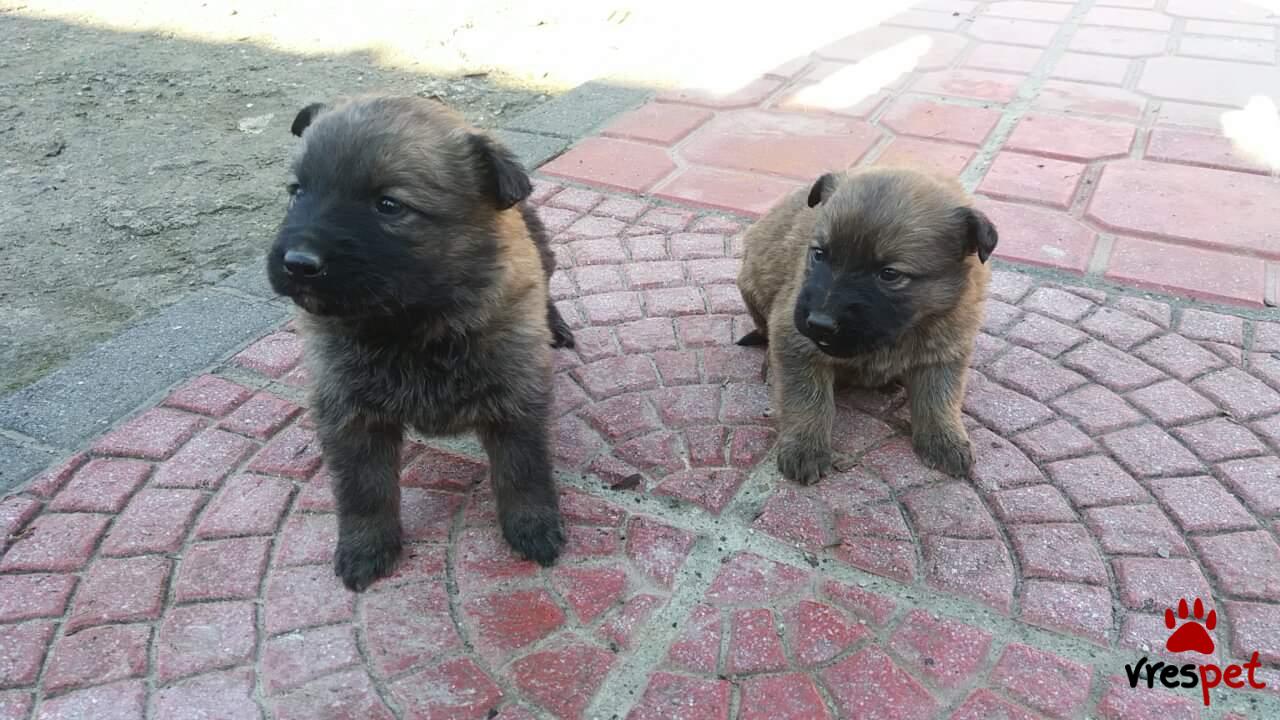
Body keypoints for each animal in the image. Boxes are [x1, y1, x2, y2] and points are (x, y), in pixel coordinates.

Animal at [267, 95, 573, 589]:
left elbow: (522, 471)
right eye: (297, 191)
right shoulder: (350, 414)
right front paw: (366, 547)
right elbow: (364, 490)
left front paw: (533, 527)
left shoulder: (516, 399)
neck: (411, 326)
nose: (298, 263)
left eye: (389, 204)